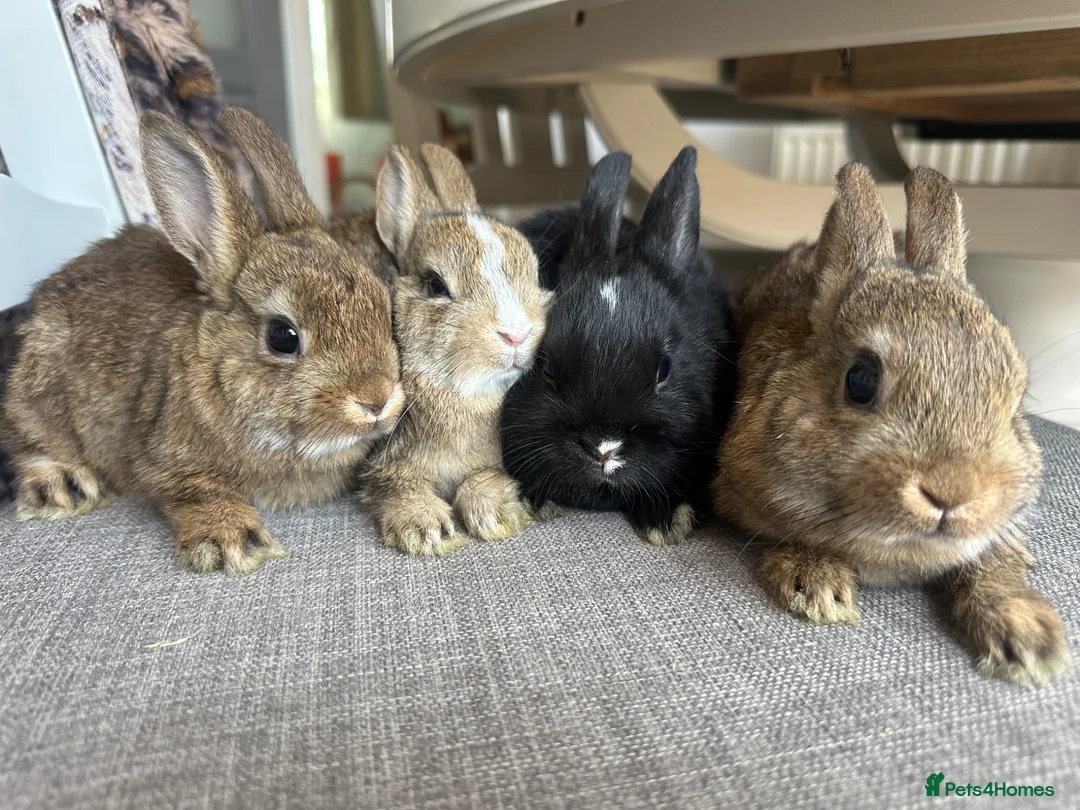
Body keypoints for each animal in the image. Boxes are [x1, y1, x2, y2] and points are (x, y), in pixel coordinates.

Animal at [0, 107, 403, 575]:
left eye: (384, 308)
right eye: (282, 336)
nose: (376, 400)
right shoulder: (163, 458)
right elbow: (199, 489)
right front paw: (233, 541)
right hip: (37, 386)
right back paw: (63, 485)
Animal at [352, 144, 551, 556]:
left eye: (535, 274)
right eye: (434, 284)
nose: (516, 334)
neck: (467, 394)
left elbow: (481, 481)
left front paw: (495, 516)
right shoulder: (385, 464)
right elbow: (398, 487)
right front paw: (426, 530)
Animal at [712, 162, 1069, 686]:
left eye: (1016, 396)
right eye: (860, 380)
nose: (954, 492)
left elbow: (994, 562)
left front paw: (1030, 638)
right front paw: (817, 586)